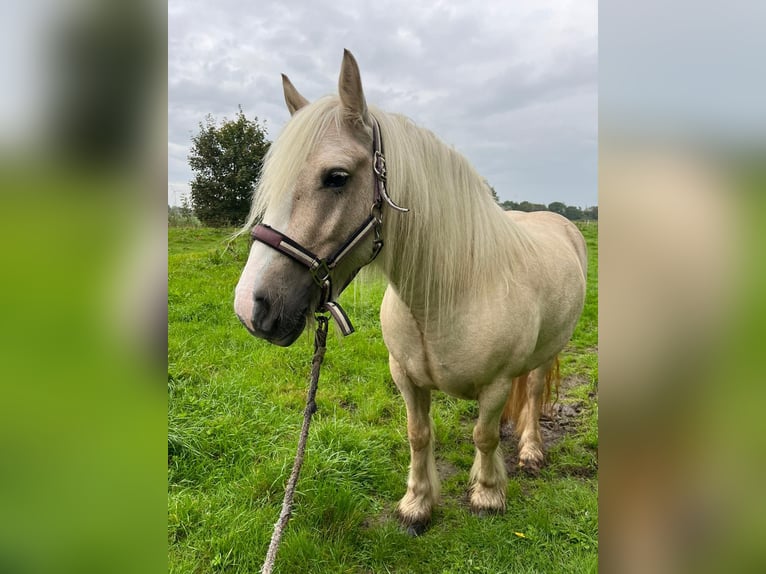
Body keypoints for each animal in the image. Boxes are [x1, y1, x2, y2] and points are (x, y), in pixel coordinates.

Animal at [237, 50, 592, 540]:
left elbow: (482, 436)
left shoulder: (498, 381)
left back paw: (531, 450)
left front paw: (487, 494)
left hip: (548, 350)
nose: (251, 306)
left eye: (336, 177)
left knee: (535, 390)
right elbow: (418, 435)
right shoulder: (404, 376)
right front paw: (417, 505)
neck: (448, 295)